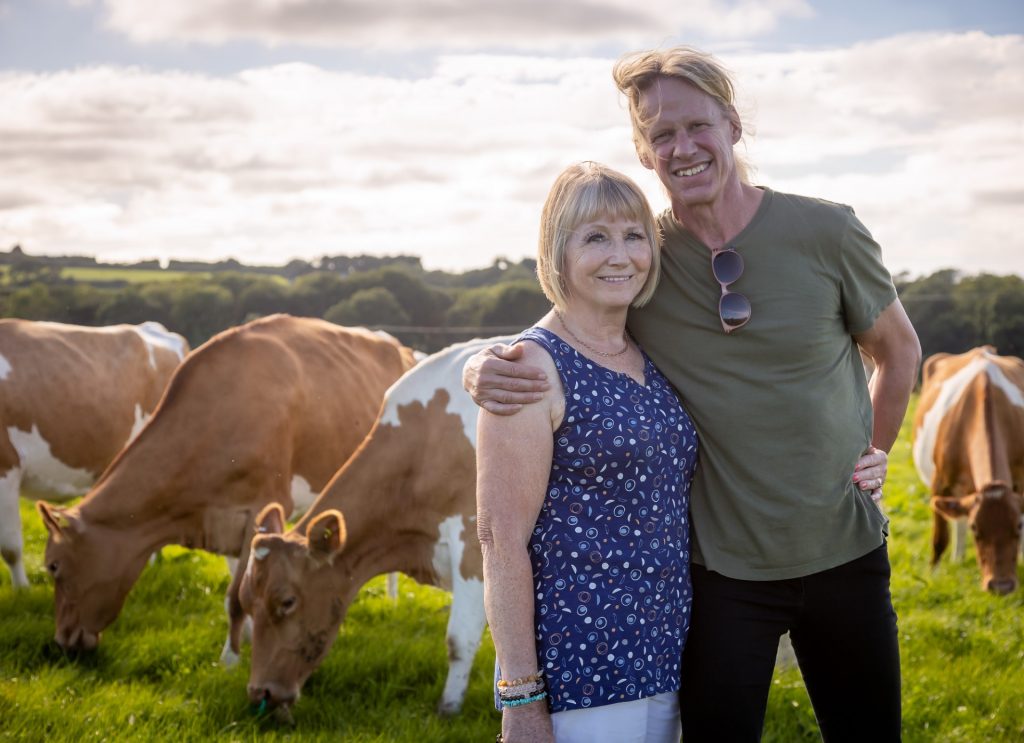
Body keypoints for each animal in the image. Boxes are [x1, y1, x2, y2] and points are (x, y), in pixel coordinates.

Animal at [37, 317, 415, 659]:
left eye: (53, 566)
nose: (61, 642)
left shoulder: (265, 503)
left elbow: (234, 597)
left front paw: (229, 660)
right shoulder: (225, 517)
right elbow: (241, 586)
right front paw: (246, 638)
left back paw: (394, 600)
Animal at [239, 339, 512, 720]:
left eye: (288, 601)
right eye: (246, 600)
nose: (259, 693)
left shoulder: (472, 549)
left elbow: (459, 639)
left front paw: (449, 706)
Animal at [913, 345, 1024, 597]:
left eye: (1018, 525)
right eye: (977, 528)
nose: (1001, 586)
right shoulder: (940, 485)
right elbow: (940, 538)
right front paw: (933, 575)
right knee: (957, 521)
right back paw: (958, 557)